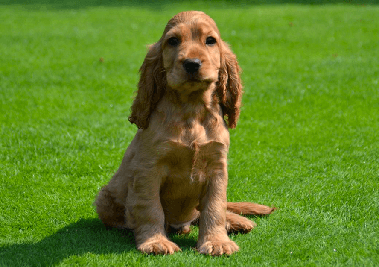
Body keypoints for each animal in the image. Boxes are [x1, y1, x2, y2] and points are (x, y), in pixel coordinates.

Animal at [94, 11, 274, 258]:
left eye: (210, 40)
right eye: (173, 41)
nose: (192, 63)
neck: (191, 109)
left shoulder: (218, 167)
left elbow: (215, 207)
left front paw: (217, 241)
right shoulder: (148, 169)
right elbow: (150, 208)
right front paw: (155, 241)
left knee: (203, 212)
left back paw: (236, 221)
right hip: (104, 198)